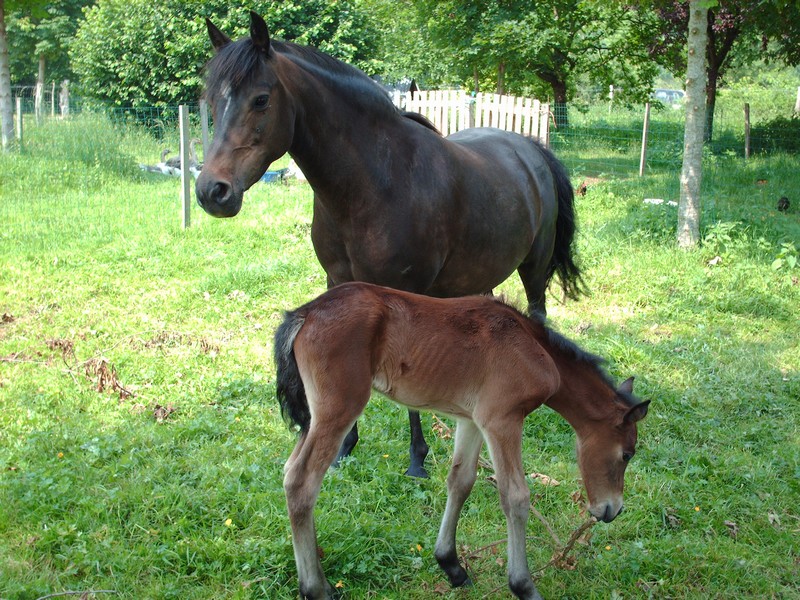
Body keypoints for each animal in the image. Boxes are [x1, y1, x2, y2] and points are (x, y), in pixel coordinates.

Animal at [194, 10, 580, 478]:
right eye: (212, 102)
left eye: (261, 100)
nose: (212, 191)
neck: (376, 180)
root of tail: (532, 149)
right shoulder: (339, 282)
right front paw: (344, 447)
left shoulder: (406, 291)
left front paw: (417, 458)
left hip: (535, 267)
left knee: (539, 315)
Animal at [276, 282, 648, 600]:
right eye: (627, 454)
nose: (612, 510)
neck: (534, 347)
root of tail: (304, 313)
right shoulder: (502, 420)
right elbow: (516, 497)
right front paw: (524, 586)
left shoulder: (471, 420)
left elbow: (461, 481)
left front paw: (451, 565)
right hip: (339, 408)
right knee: (302, 482)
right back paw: (315, 589)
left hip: (315, 416)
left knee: (291, 471)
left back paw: (323, 582)